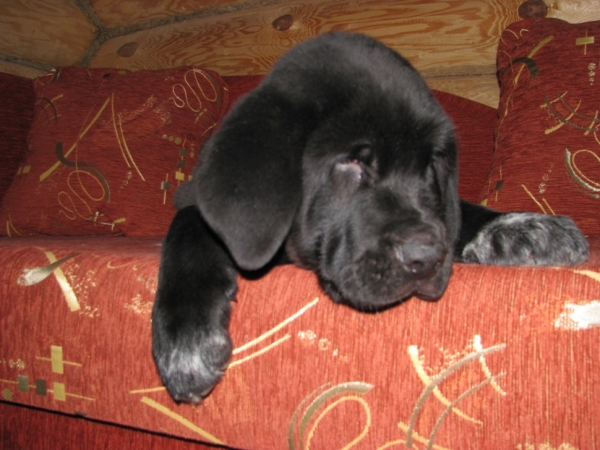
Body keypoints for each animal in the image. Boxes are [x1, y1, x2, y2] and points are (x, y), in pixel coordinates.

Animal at [152, 32, 588, 404]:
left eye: (430, 165)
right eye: (350, 163)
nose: (425, 259)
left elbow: (457, 212)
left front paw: (522, 227)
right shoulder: (190, 202)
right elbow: (189, 225)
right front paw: (187, 337)